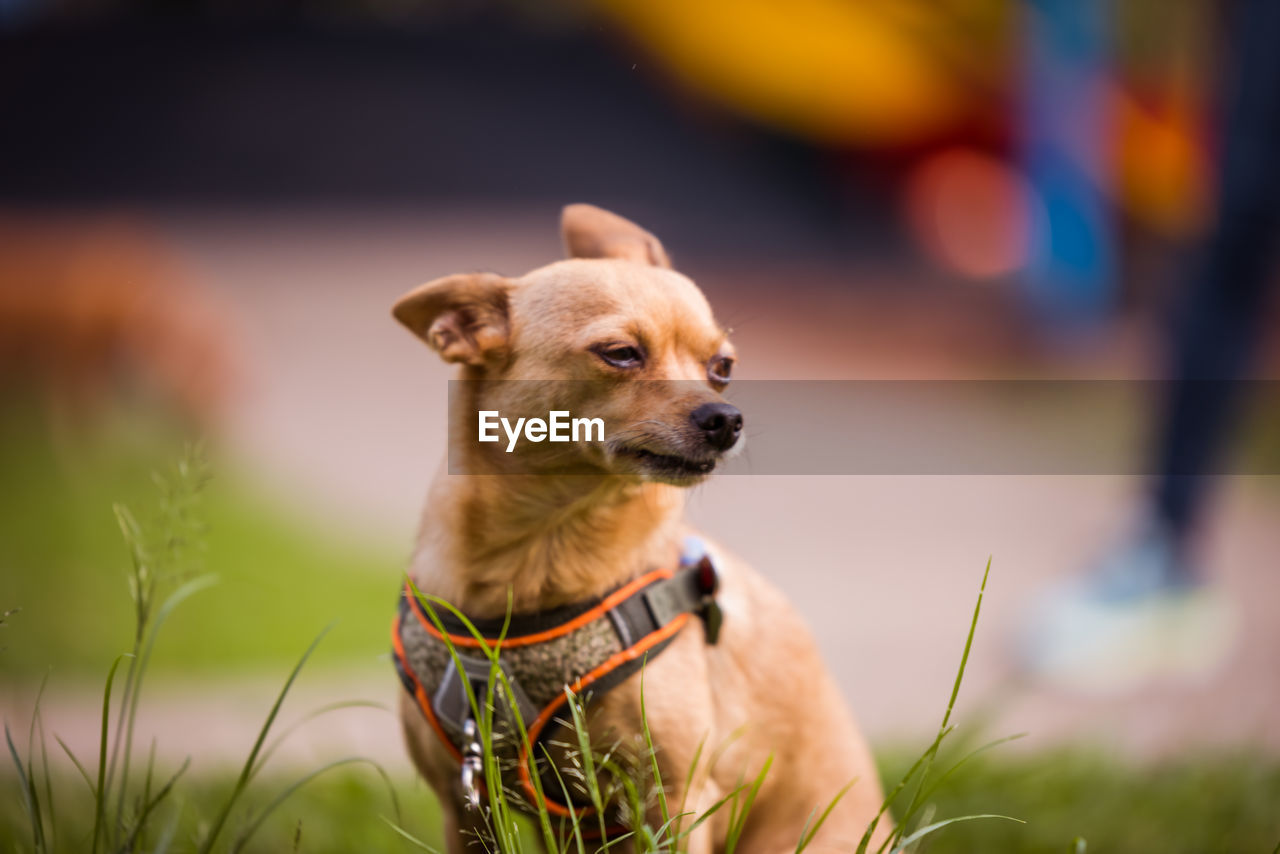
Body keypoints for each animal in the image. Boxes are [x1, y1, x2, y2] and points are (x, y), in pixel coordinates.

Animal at [394, 207, 885, 854]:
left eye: (722, 368)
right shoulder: (466, 805)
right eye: (621, 353)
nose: (726, 418)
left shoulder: (672, 799)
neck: (540, 549)